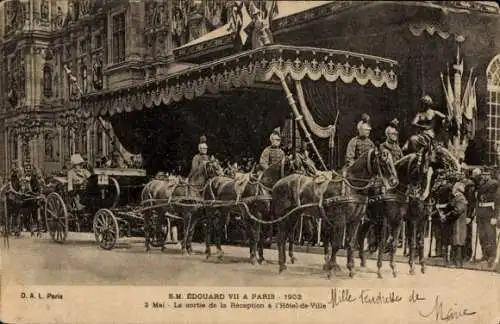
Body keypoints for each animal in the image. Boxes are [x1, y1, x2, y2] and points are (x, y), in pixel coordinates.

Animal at [272, 146, 396, 278]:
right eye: (383, 160)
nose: (394, 181)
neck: (351, 186)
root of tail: (278, 184)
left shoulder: (355, 221)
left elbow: (351, 243)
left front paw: (351, 269)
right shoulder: (340, 220)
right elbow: (336, 244)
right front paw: (331, 269)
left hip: (293, 216)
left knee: (285, 237)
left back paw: (283, 265)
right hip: (283, 217)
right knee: (281, 238)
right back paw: (281, 266)